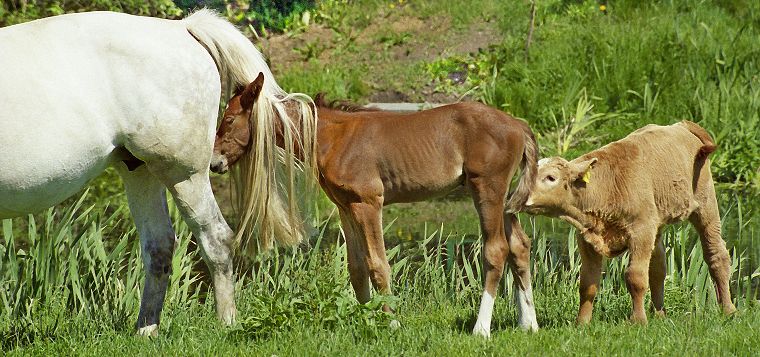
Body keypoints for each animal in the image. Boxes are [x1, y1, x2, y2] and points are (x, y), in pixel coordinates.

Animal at [0, 9, 316, 336]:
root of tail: (182, 28)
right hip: (141, 171)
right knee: (160, 246)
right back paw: (146, 330)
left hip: (183, 174)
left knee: (215, 239)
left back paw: (226, 322)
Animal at [212, 73, 540, 336]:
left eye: (228, 120)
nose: (214, 163)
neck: (332, 138)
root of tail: (518, 125)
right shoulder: (346, 206)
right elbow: (356, 268)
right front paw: (367, 320)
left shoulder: (368, 203)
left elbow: (378, 264)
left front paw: (390, 323)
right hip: (503, 198)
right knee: (519, 246)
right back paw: (529, 324)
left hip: (487, 189)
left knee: (496, 249)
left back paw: (481, 329)